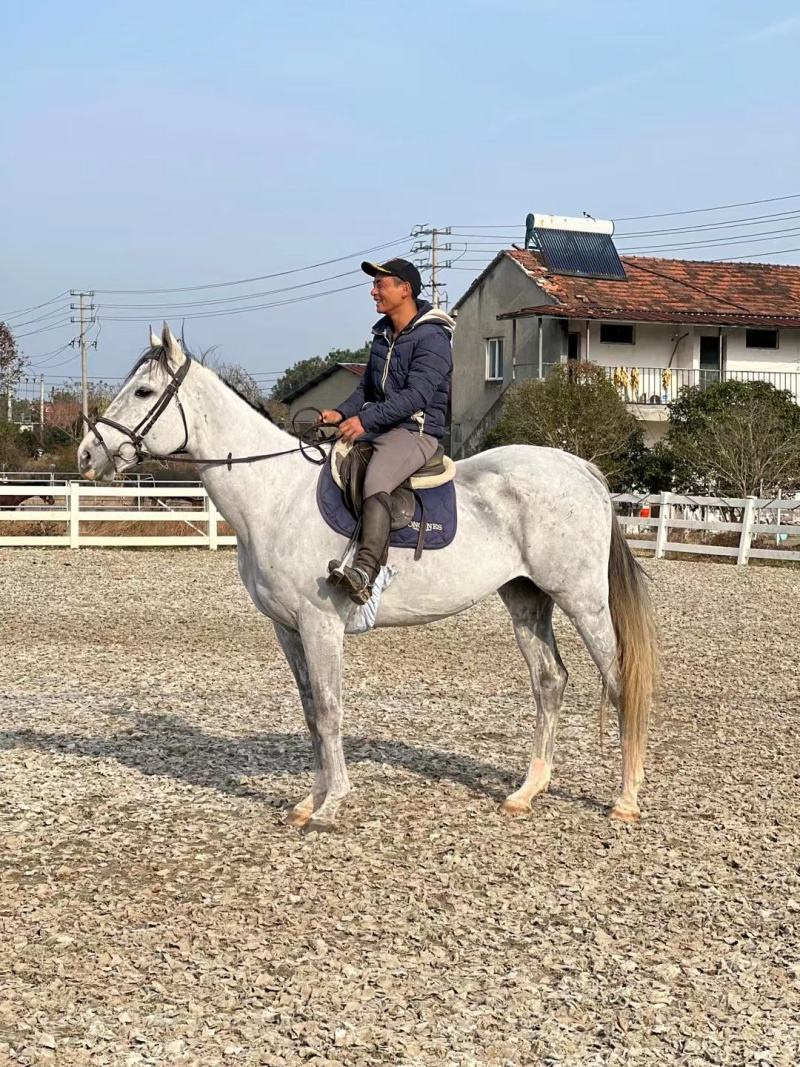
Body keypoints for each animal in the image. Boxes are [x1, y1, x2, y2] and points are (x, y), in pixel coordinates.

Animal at [77, 324, 658, 831]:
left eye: (144, 390)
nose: (87, 454)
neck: (273, 493)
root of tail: (582, 469)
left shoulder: (320, 625)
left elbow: (330, 709)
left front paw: (332, 805)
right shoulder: (287, 629)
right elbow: (311, 712)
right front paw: (309, 802)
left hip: (582, 599)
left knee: (617, 680)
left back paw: (626, 800)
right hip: (526, 598)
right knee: (549, 681)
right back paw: (527, 792)